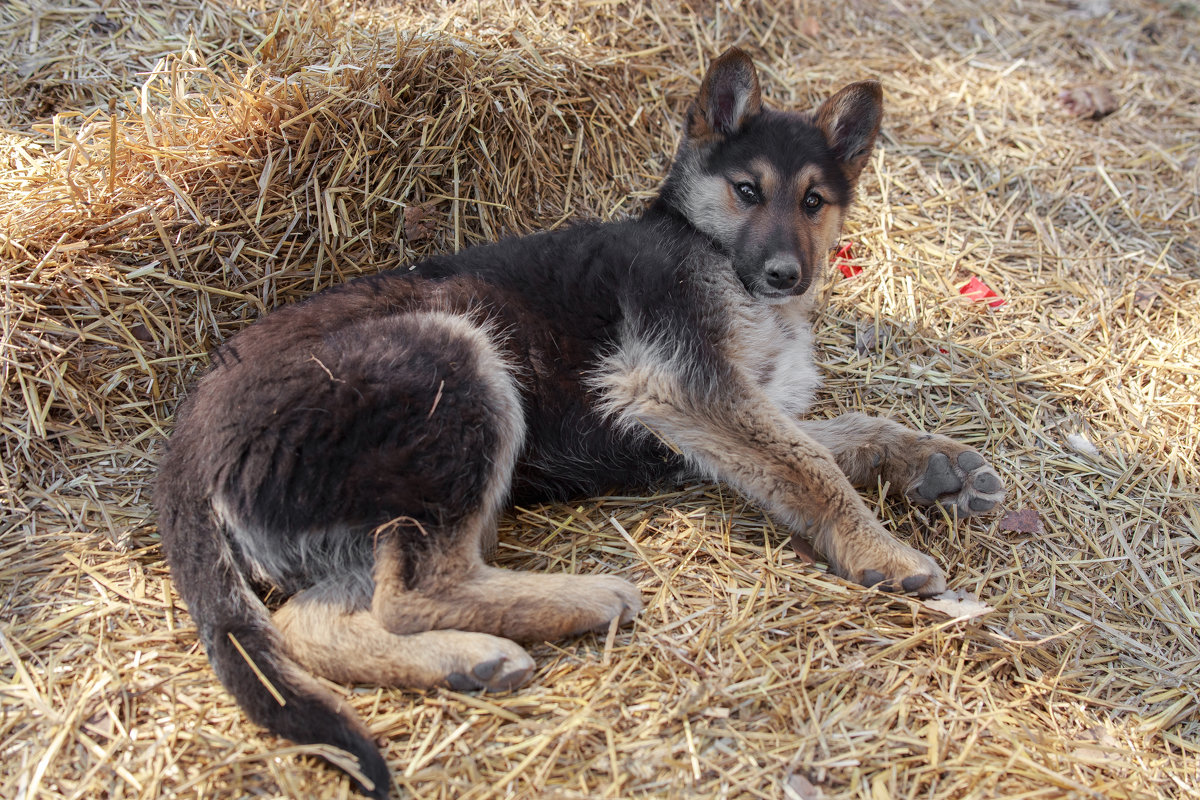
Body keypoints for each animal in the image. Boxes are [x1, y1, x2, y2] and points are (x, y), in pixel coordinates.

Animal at [157, 47, 1003, 796]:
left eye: (813, 202)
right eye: (747, 190)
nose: (785, 276)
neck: (707, 248)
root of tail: (188, 438)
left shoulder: (717, 414)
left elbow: (838, 435)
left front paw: (933, 463)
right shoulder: (680, 384)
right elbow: (810, 463)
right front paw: (879, 548)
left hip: (364, 519)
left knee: (310, 623)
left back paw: (466, 659)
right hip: (457, 364)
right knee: (417, 591)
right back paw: (583, 600)